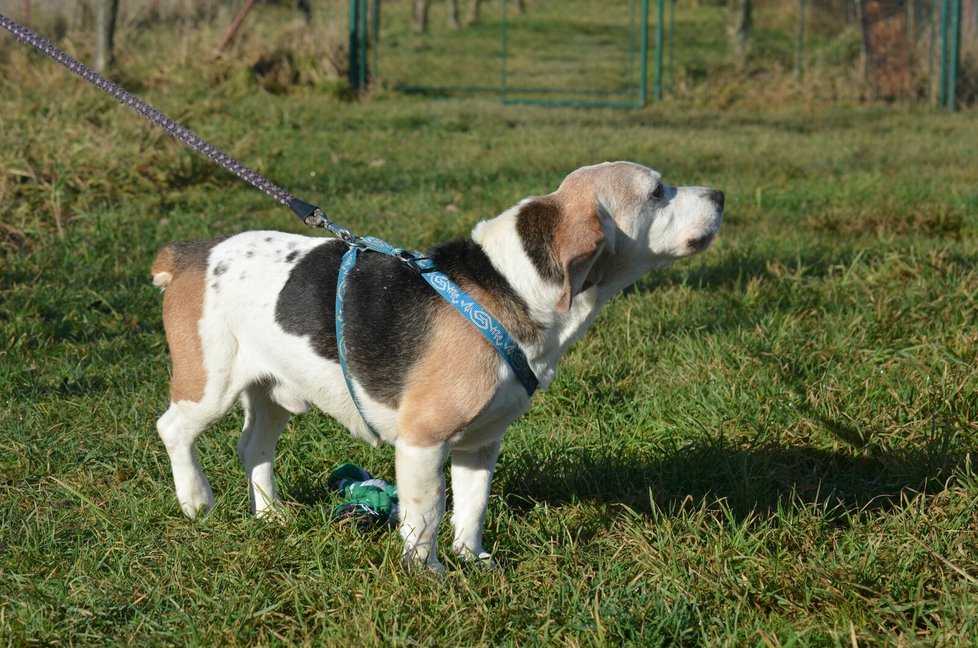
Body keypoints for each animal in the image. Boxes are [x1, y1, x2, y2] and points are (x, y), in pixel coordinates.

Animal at [151, 161, 716, 572]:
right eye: (658, 192)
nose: (720, 196)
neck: (508, 285)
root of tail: (189, 253)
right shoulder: (423, 440)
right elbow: (427, 515)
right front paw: (429, 575)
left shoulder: (480, 443)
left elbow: (471, 507)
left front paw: (473, 561)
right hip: (209, 387)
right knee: (173, 429)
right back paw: (195, 501)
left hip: (272, 394)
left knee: (253, 449)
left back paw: (272, 515)